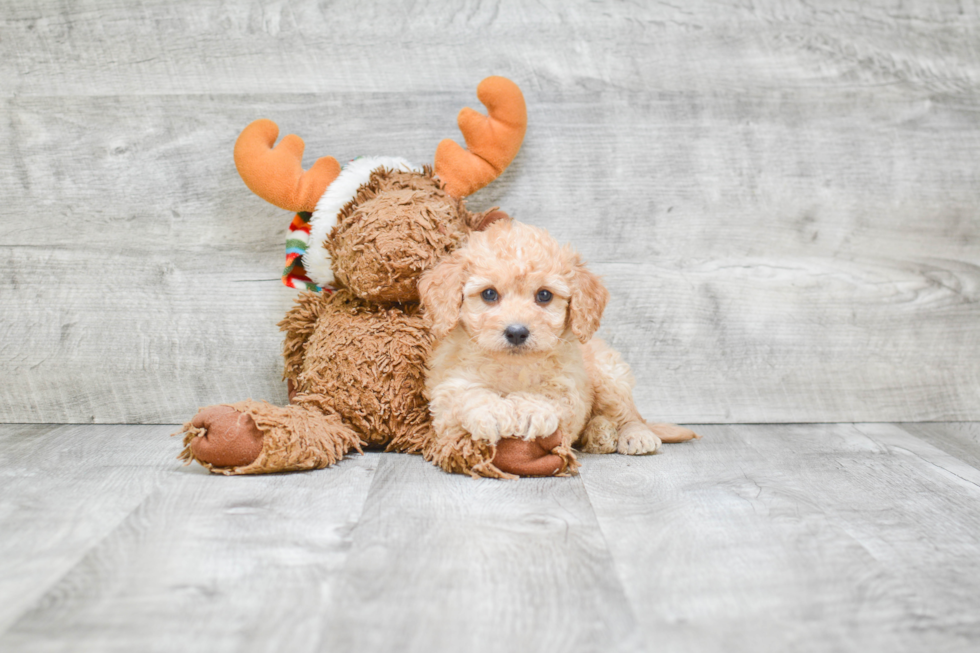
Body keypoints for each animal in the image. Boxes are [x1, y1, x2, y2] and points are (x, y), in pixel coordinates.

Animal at [420, 216, 696, 476]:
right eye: (489, 294)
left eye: (544, 295)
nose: (517, 332)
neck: (513, 367)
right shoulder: (447, 387)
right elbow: (465, 394)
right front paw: (494, 412)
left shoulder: (570, 384)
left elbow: (552, 394)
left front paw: (529, 410)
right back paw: (600, 434)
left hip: (609, 376)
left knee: (630, 413)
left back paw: (633, 435)